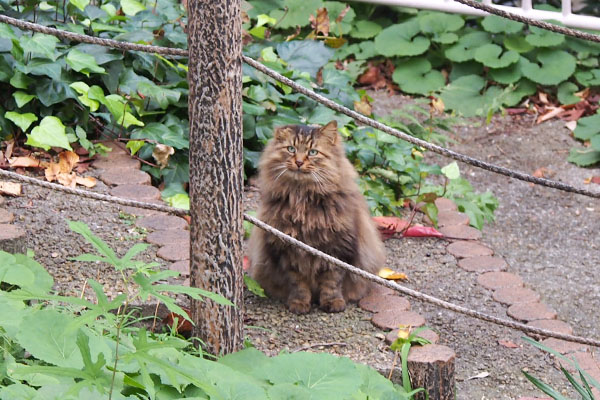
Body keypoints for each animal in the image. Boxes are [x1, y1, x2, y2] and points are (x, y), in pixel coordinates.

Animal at [248, 120, 384, 314]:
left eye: (313, 152)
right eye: (291, 149)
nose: (298, 162)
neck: (302, 198)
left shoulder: (338, 248)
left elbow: (332, 281)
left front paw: (333, 303)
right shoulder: (287, 250)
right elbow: (298, 283)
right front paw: (299, 304)